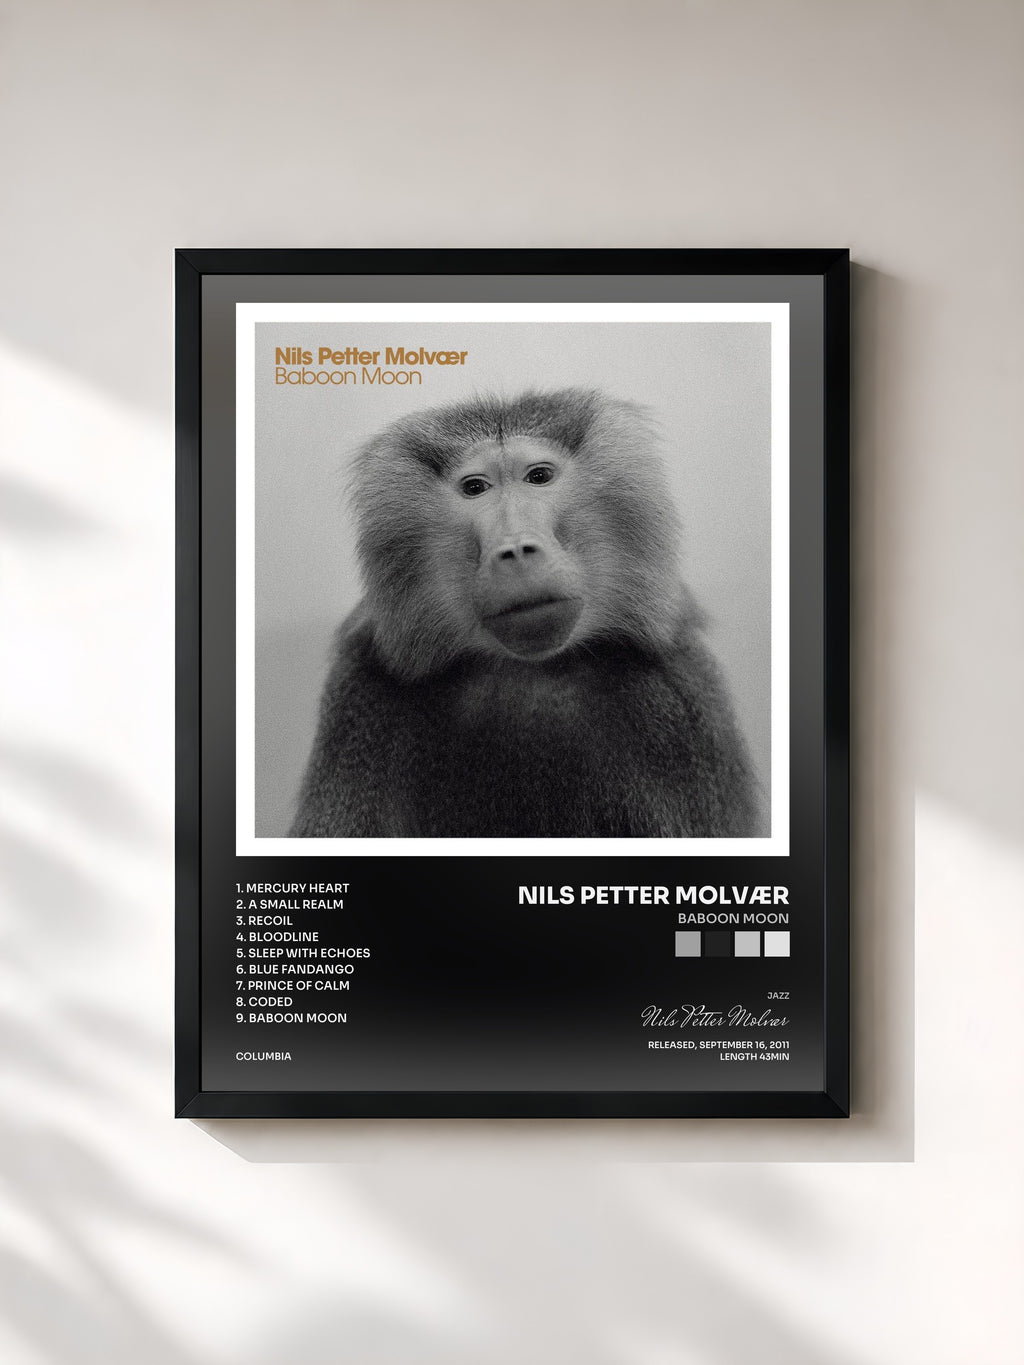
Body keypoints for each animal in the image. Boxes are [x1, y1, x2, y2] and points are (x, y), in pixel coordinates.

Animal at [290, 388, 762, 838]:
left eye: (539, 477)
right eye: (475, 488)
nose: (516, 550)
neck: (528, 670)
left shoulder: (678, 701)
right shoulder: (361, 701)